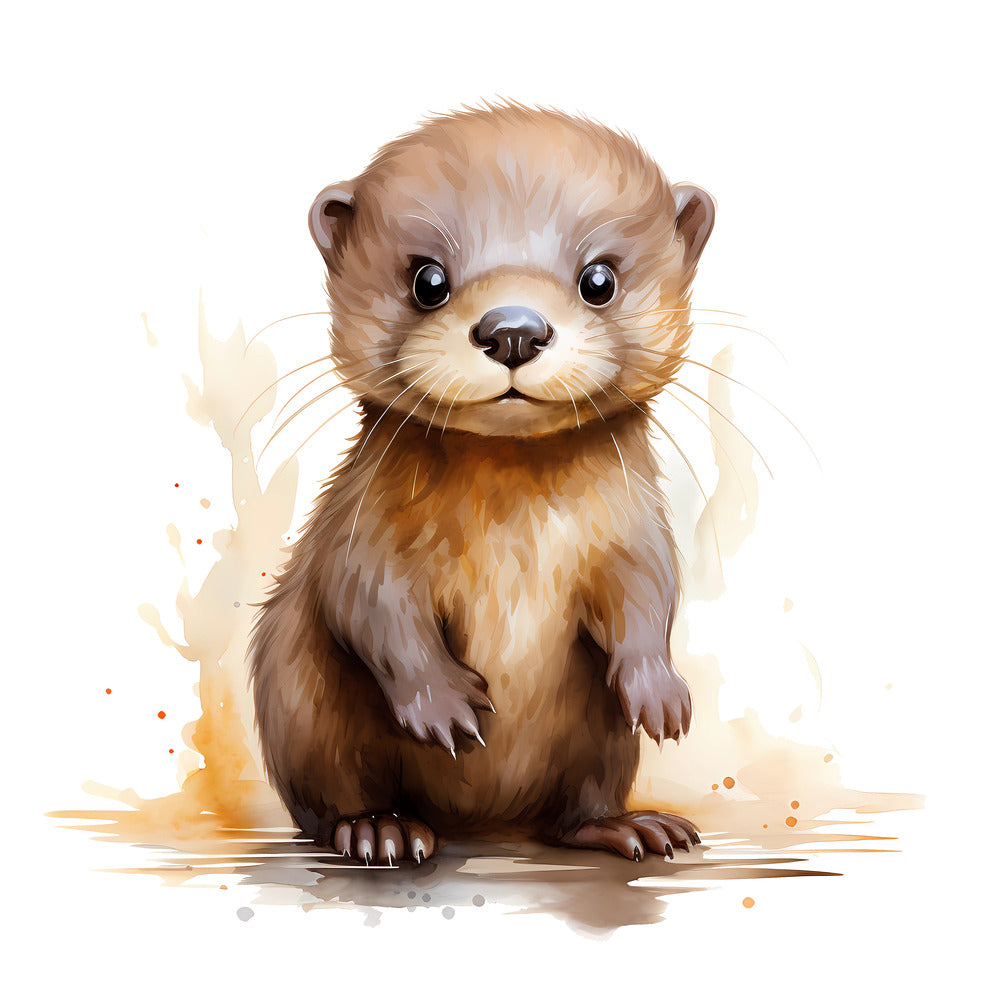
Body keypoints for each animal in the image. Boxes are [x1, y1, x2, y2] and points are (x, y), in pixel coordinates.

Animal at [250, 103, 715, 864]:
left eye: (599, 279)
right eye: (428, 279)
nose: (513, 329)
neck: (515, 533)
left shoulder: (633, 530)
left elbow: (648, 596)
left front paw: (659, 692)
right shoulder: (358, 532)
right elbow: (371, 608)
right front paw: (445, 705)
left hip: (600, 750)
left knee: (578, 805)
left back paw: (630, 826)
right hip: (301, 705)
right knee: (332, 797)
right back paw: (380, 829)